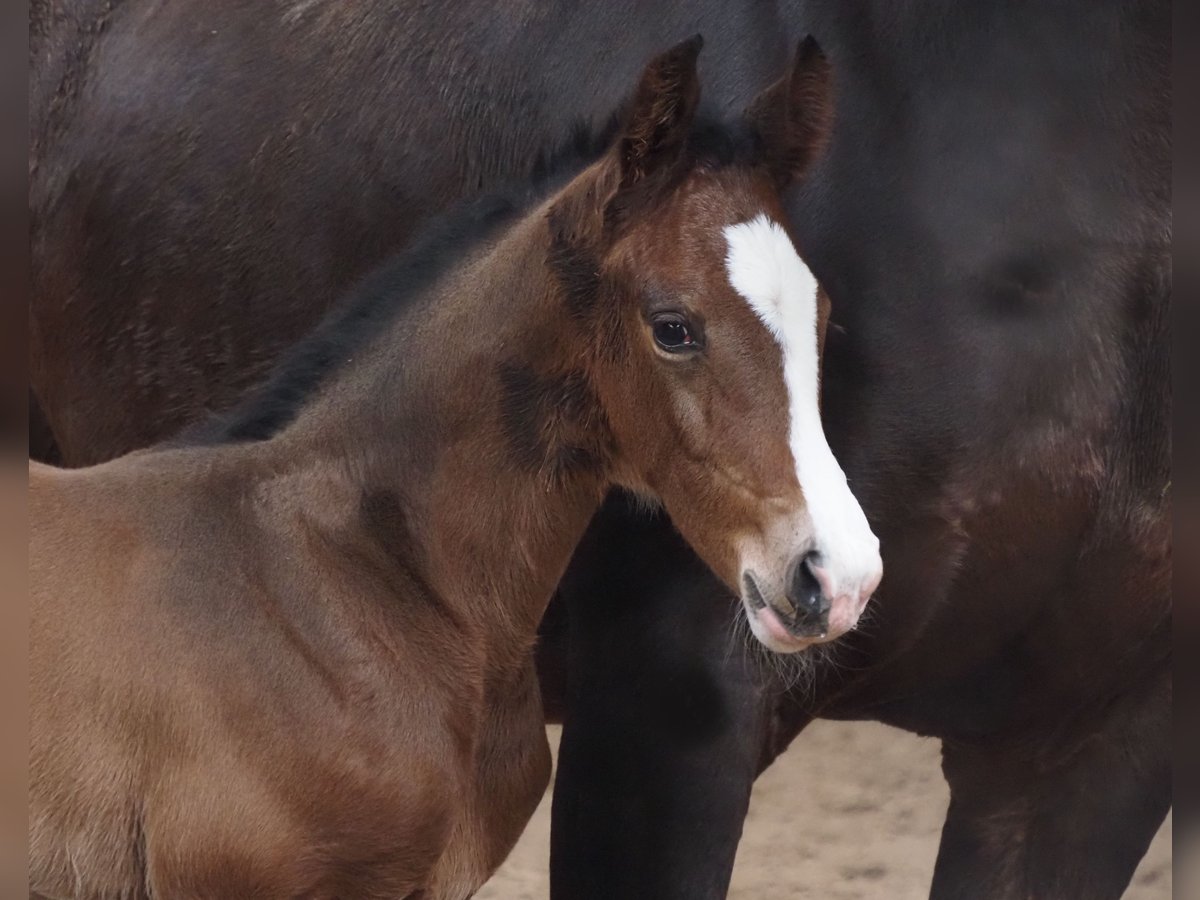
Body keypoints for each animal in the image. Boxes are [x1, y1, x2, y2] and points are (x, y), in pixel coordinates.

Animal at [30, 1, 1171, 900]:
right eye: (672, 326)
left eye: (823, 317)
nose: (835, 576)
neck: (334, 571)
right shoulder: (663, 723)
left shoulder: (1078, 741)